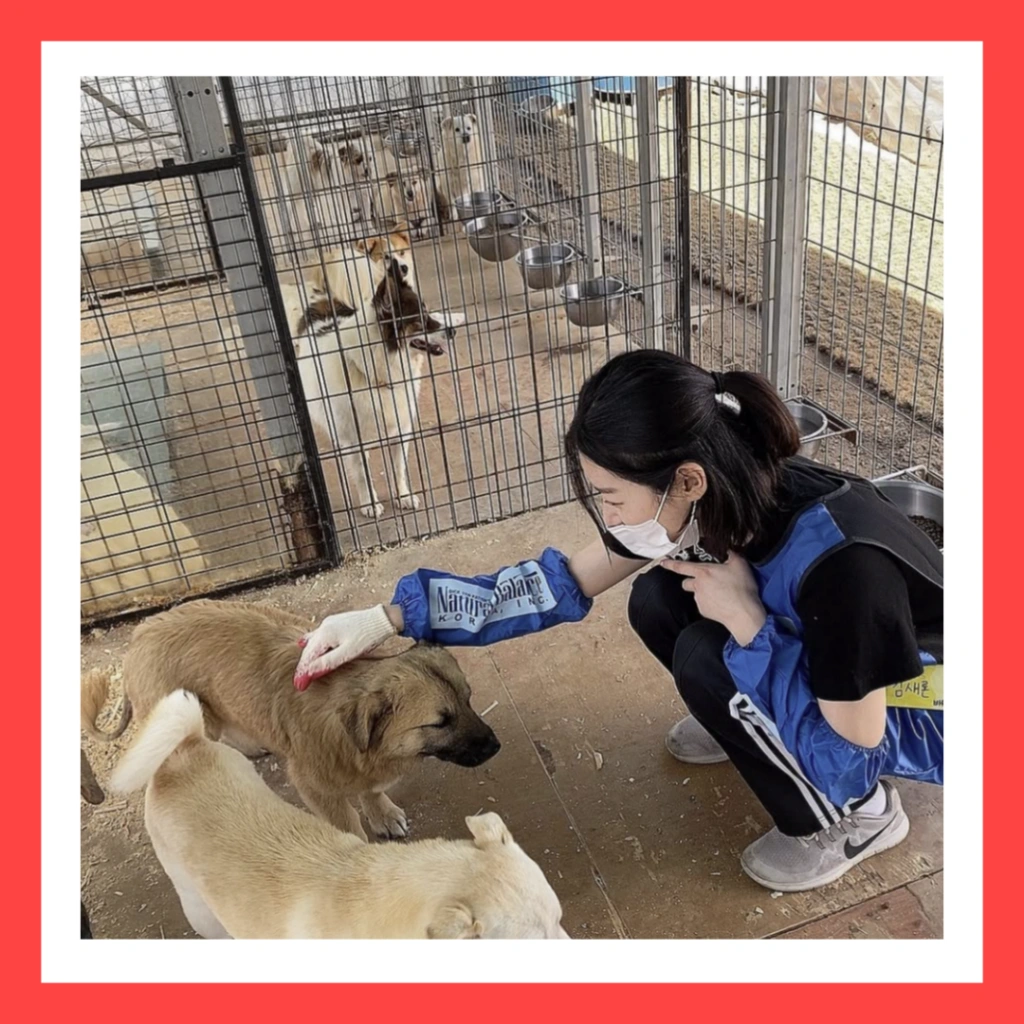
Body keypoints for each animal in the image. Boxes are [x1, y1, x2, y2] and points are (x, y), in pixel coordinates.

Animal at [82, 599, 500, 842]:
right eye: (440, 722)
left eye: (468, 700)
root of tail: (138, 639)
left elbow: (371, 790)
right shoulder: (315, 789)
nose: (496, 746)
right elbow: (349, 826)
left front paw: (381, 812)